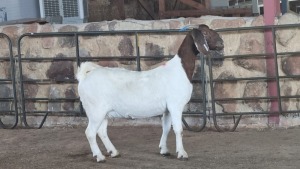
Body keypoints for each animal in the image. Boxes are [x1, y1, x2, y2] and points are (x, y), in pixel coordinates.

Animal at [76, 24, 224, 162]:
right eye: (205, 33)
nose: (221, 43)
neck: (180, 69)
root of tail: (84, 77)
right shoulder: (175, 105)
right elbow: (178, 129)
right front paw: (182, 153)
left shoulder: (167, 109)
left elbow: (166, 128)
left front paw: (164, 150)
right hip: (95, 110)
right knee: (90, 132)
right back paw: (99, 157)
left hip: (103, 112)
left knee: (101, 131)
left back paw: (114, 152)